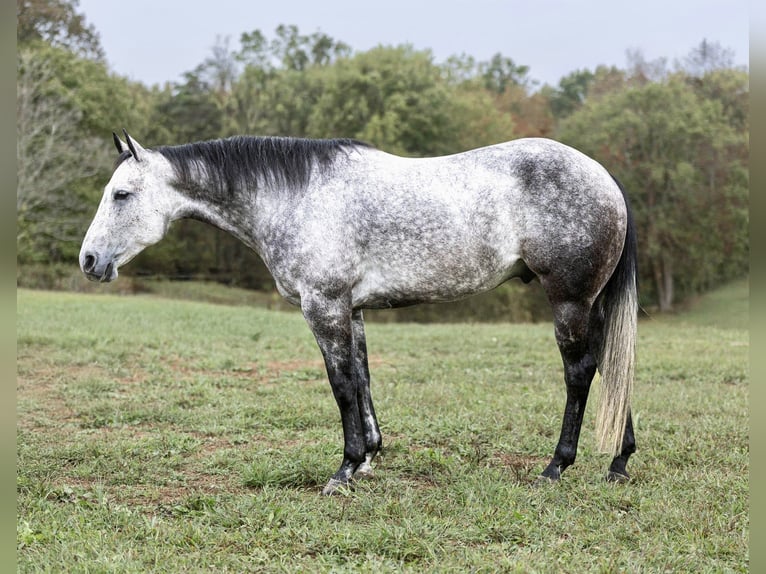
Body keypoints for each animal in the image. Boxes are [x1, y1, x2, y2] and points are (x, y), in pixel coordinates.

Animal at [80, 131, 638, 495]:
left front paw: (344, 471)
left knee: (580, 373)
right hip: (591, 306)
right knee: (612, 368)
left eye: (121, 194)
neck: (296, 197)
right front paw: (369, 456)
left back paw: (556, 467)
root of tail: (606, 179)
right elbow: (364, 380)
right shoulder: (353, 310)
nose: (88, 260)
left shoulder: (323, 306)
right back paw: (618, 461)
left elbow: (342, 384)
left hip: (568, 301)